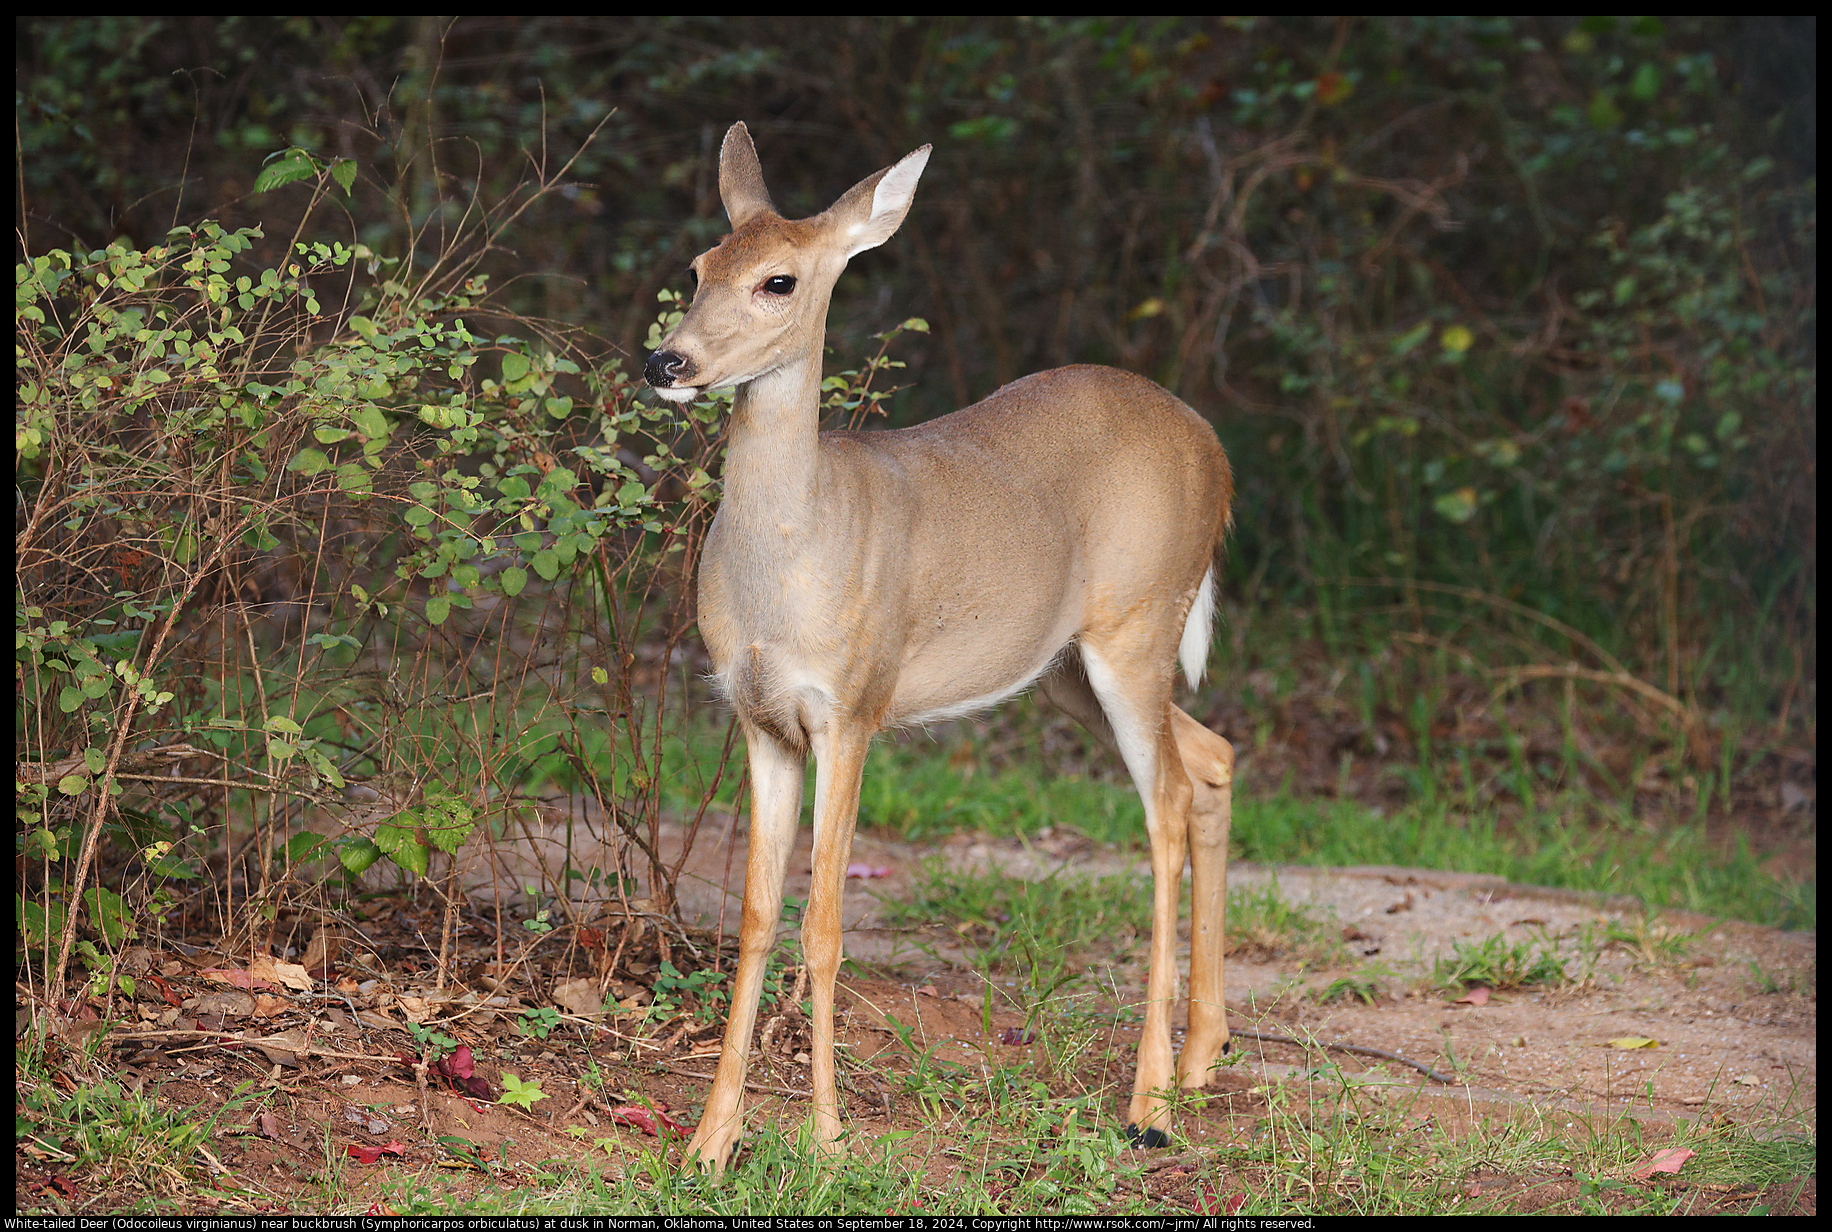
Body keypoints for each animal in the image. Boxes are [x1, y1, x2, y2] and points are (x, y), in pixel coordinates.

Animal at [644, 124, 1231, 1173]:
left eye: (780, 281)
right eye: (700, 266)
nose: (667, 362)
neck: (792, 557)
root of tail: (1218, 450)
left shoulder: (854, 706)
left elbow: (825, 924)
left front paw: (828, 1139)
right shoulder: (758, 717)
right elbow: (754, 917)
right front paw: (711, 1142)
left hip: (1138, 622)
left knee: (1163, 803)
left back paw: (1149, 1103)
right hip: (1071, 669)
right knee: (1211, 759)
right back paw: (1203, 1059)